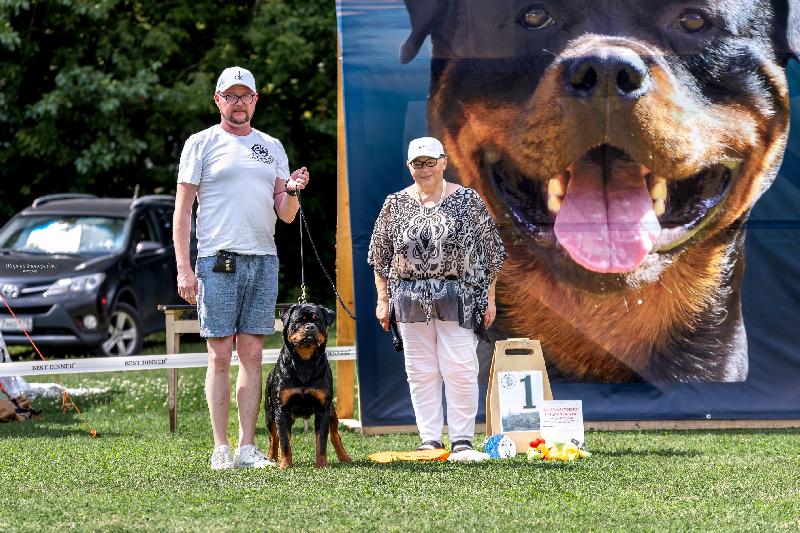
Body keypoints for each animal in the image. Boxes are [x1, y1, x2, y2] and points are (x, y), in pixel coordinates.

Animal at [265, 303, 351, 468]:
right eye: (299, 321)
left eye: (318, 321)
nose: (310, 327)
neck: (304, 362)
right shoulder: (282, 410)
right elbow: (284, 441)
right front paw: (285, 465)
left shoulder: (323, 410)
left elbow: (322, 441)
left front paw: (322, 465)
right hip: (270, 413)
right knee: (274, 437)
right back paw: (271, 458)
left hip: (332, 412)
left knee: (335, 435)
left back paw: (345, 457)